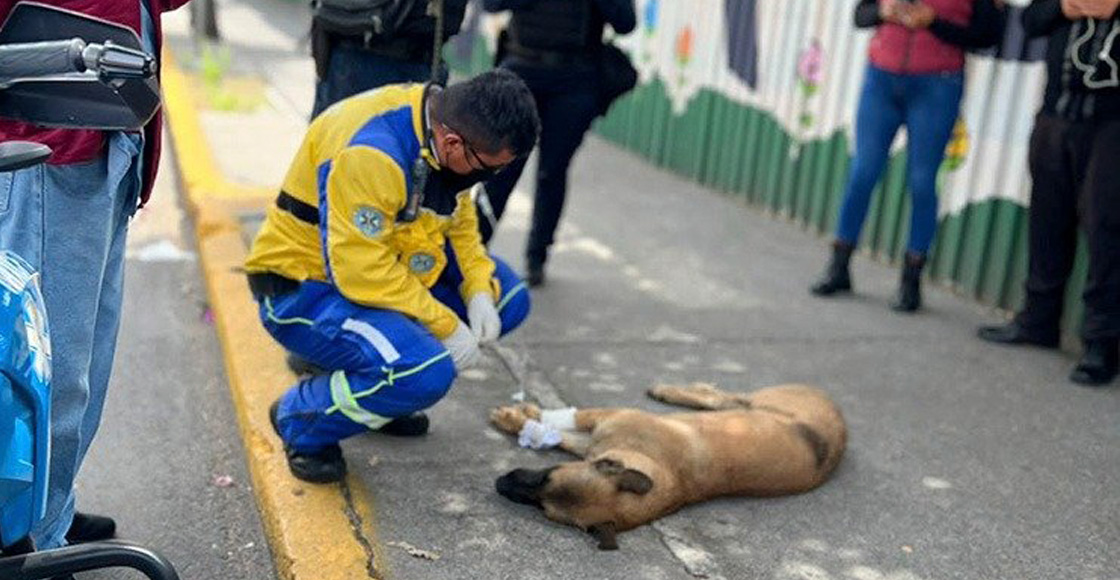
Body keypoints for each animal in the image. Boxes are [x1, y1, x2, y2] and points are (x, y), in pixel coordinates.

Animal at [492, 385, 846, 553]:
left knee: (717, 397)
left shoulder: (604, 425)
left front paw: (519, 418)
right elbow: (563, 424)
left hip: (750, 403)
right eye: (546, 474)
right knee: (716, 396)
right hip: (751, 403)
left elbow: (562, 422)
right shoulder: (599, 430)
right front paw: (519, 419)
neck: (669, 474)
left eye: (543, 506)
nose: (499, 484)